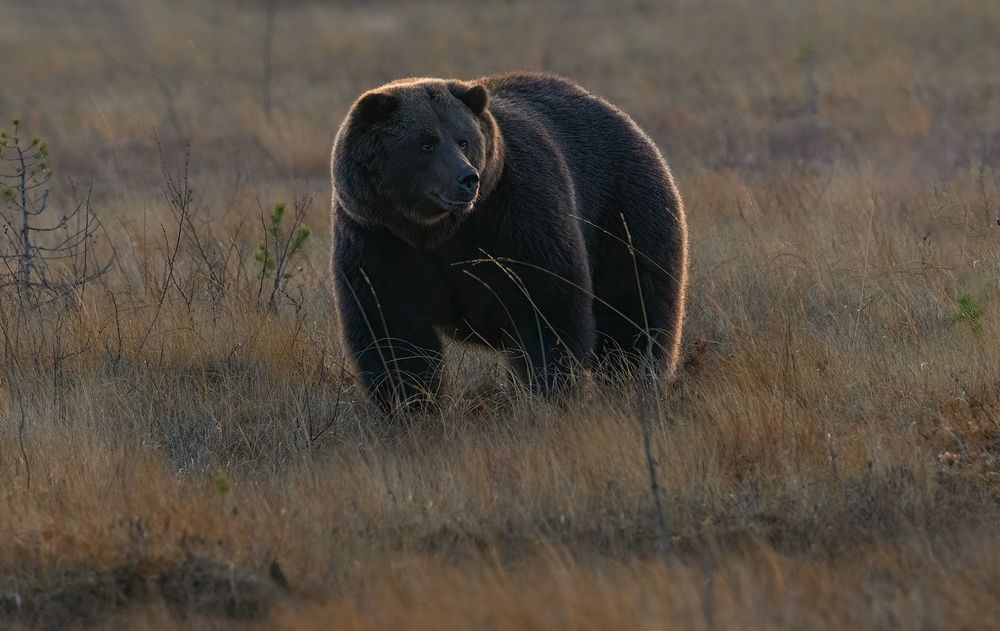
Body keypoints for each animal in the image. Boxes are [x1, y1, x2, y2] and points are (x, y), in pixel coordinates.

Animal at [330, 73, 687, 413]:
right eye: (426, 143)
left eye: (463, 140)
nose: (467, 178)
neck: (435, 230)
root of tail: (625, 120)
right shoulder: (377, 238)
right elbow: (390, 328)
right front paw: (411, 405)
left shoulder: (516, 213)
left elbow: (546, 302)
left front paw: (550, 389)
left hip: (622, 211)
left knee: (632, 309)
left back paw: (635, 380)